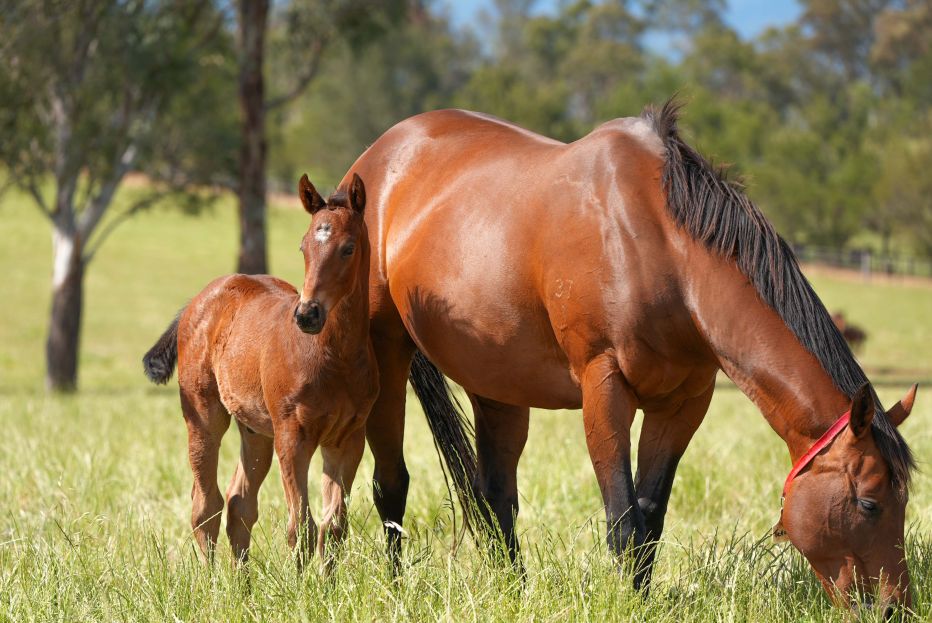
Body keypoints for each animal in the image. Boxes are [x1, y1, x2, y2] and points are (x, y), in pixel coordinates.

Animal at [142, 174, 374, 572]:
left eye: (348, 248)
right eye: (303, 247)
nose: (307, 314)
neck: (334, 356)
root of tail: (198, 301)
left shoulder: (348, 438)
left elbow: (333, 528)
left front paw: (326, 585)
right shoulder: (292, 435)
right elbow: (301, 527)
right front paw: (302, 587)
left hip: (256, 430)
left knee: (239, 504)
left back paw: (242, 583)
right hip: (205, 415)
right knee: (206, 505)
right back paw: (211, 580)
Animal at [340, 100, 916, 612]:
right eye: (869, 503)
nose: (894, 608)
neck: (657, 247)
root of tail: (376, 157)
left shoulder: (684, 403)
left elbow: (650, 515)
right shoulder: (604, 386)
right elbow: (622, 519)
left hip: (498, 385)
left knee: (496, 495)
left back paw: (514, 592)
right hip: (386, 353)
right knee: (390, 483)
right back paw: (394, 589)